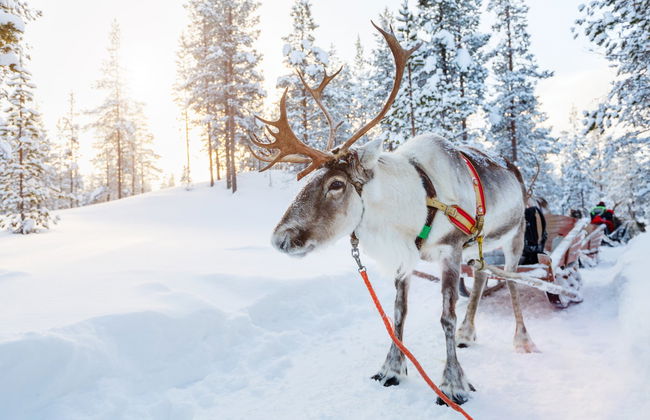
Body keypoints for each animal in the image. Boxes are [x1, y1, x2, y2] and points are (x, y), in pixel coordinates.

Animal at [250, 23, 538, 406]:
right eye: (309, 180)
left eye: (336, 184)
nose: (279, 238)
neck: (417, 201)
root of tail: (515, 169)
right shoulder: (407, 256)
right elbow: (399, 312)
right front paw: (391, 369)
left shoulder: (451, 249)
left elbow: (445, 316)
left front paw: (453, 385)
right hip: (479, 245)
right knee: (480, 276)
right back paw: (468, 332)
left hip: (515, 235)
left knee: (512, 280)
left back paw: (522, 339)